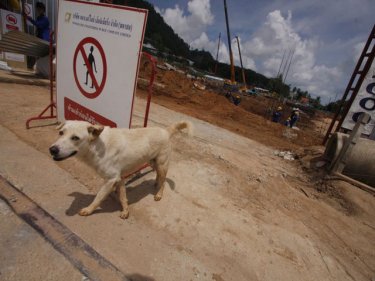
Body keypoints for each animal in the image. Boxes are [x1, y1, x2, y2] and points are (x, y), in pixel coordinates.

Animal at [48, 119, 192, 218]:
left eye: (75, 138)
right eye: (61, 133)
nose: (52, 149)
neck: (97, 146)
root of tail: (166, 131)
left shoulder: (110, 179)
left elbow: (98, 197)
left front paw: (88, 210)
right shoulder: (120, 178)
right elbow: (123, 197)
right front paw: (125, 211)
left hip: (162, 165)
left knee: (164, 180)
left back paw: (159, 194)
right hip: (152, 162)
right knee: (158, 176)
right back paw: (156, 183)